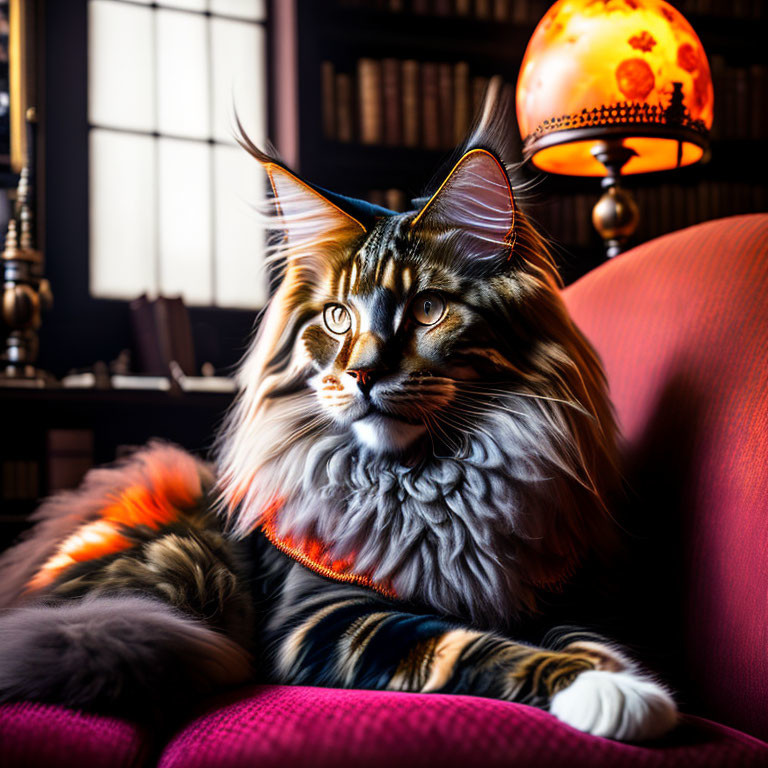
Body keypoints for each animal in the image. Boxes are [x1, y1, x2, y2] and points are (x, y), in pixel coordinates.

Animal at [0, 87, 672, 740]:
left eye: (428, 309)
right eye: (337, 317)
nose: (363, 373)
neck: (432, 486)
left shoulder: (555, 593)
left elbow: (590, 638)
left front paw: (627, 679)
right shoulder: (326, 618)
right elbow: (470, 647)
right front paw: (604, 692)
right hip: (184, 563)